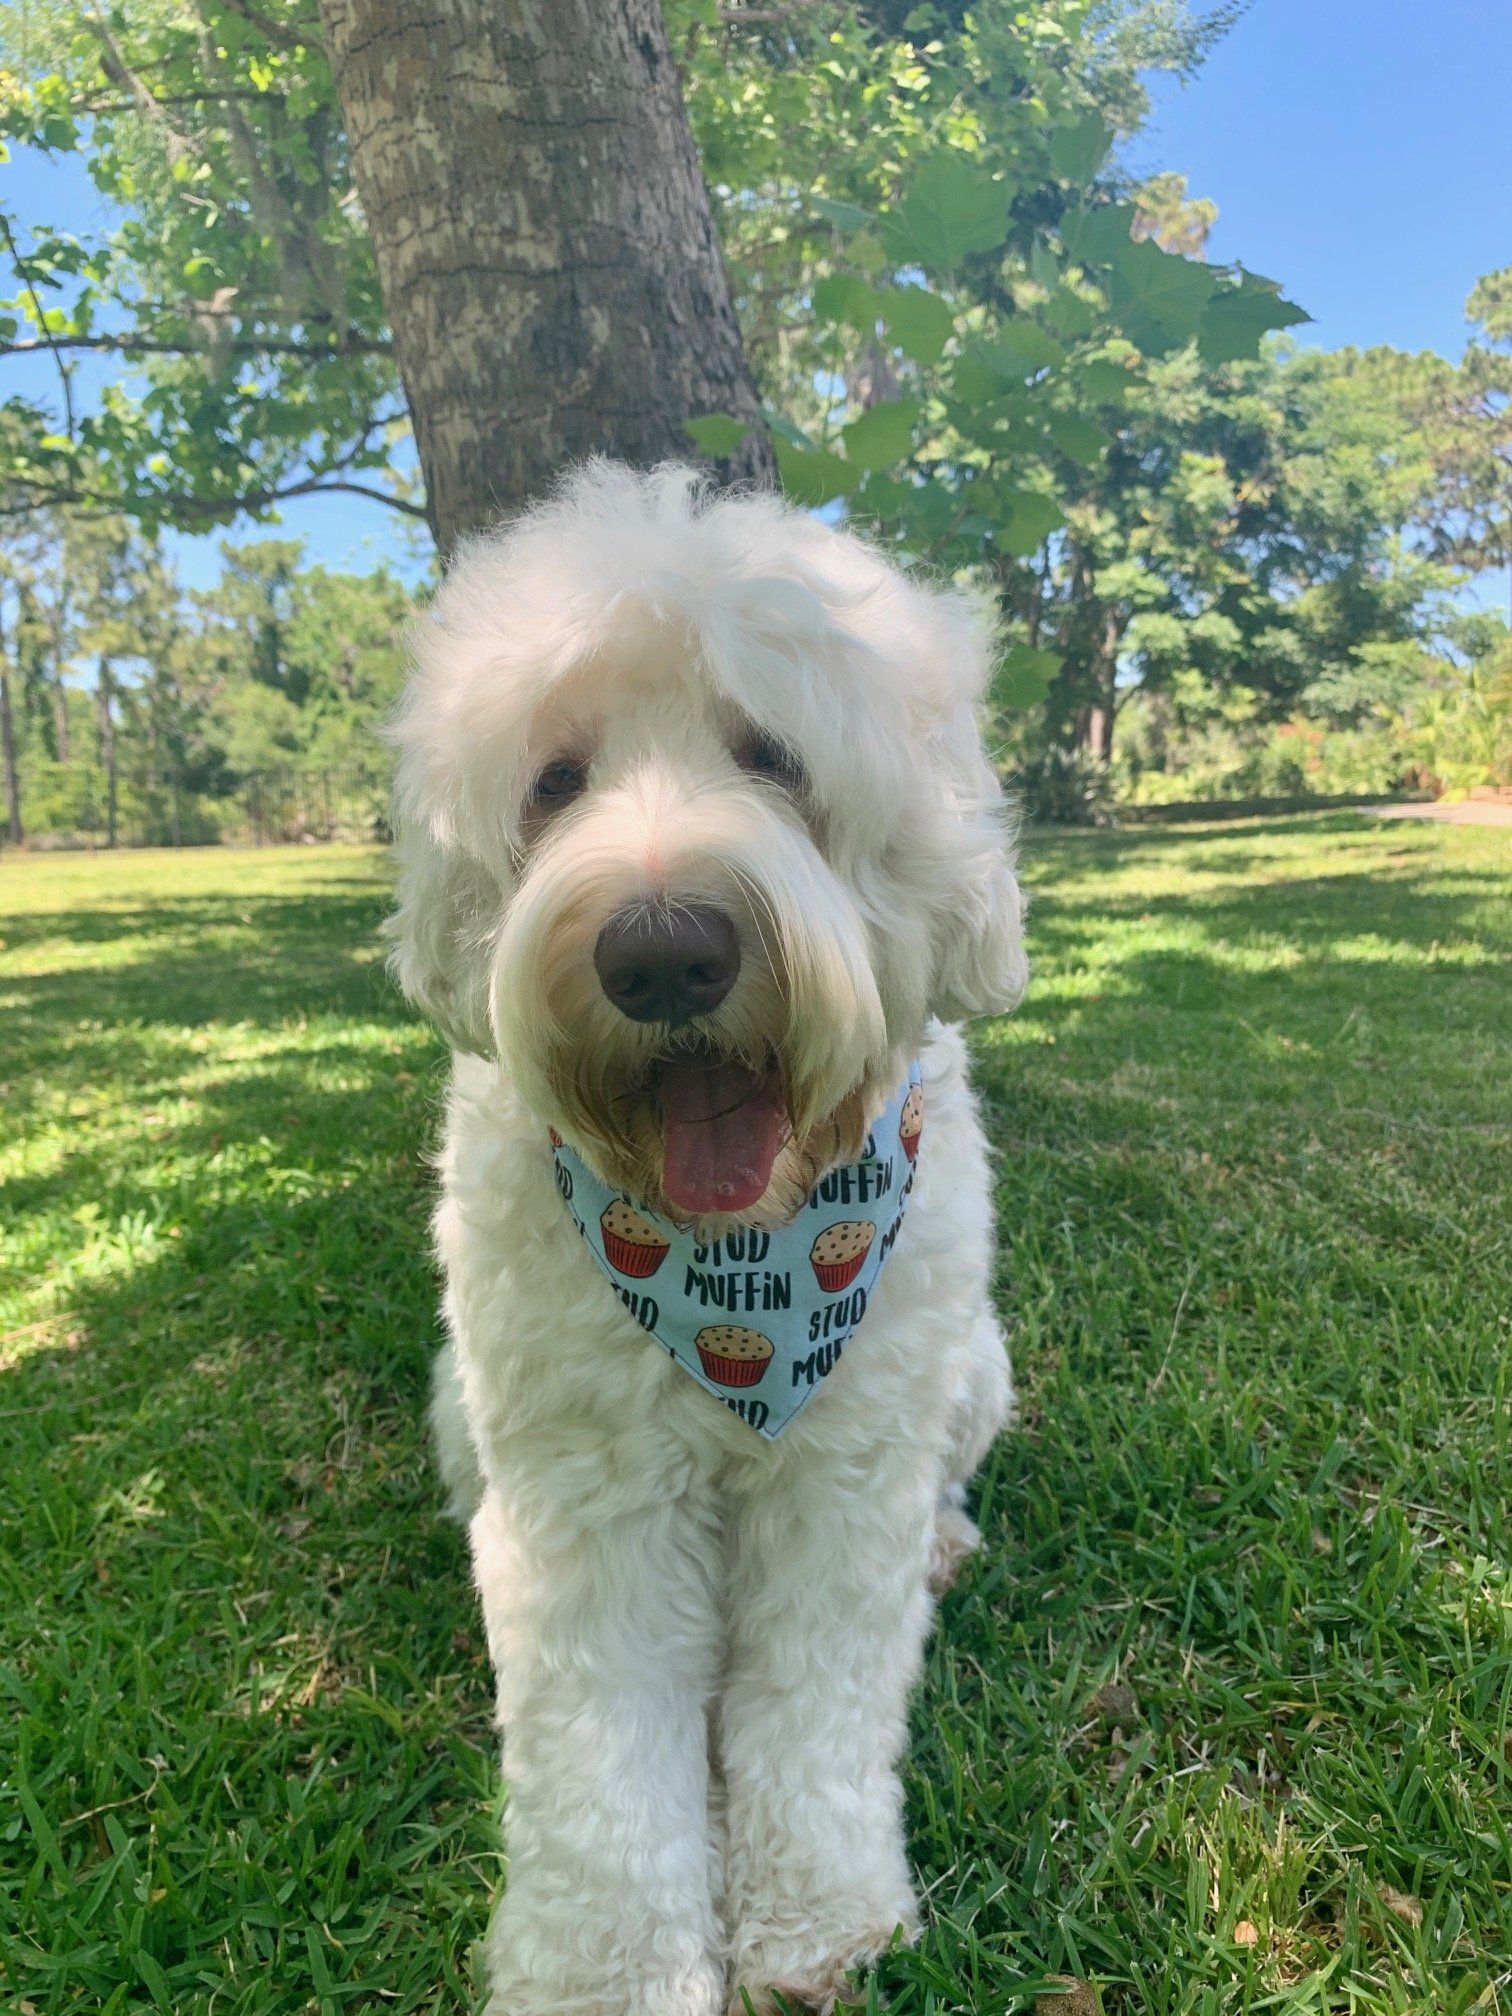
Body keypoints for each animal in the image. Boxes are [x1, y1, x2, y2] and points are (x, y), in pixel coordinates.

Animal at [385, 463, 1040, 2007]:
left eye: (775, 757)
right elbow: (603, 1749)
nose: (665, 951)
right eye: (554, 782)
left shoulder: (845, 1474)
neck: (741, 1265)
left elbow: (815, 1703)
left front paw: (816, 1922)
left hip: (971, 1373)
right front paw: (605, 1971)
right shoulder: (587, 1499)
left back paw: (946, 1544)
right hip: (464, 1412)